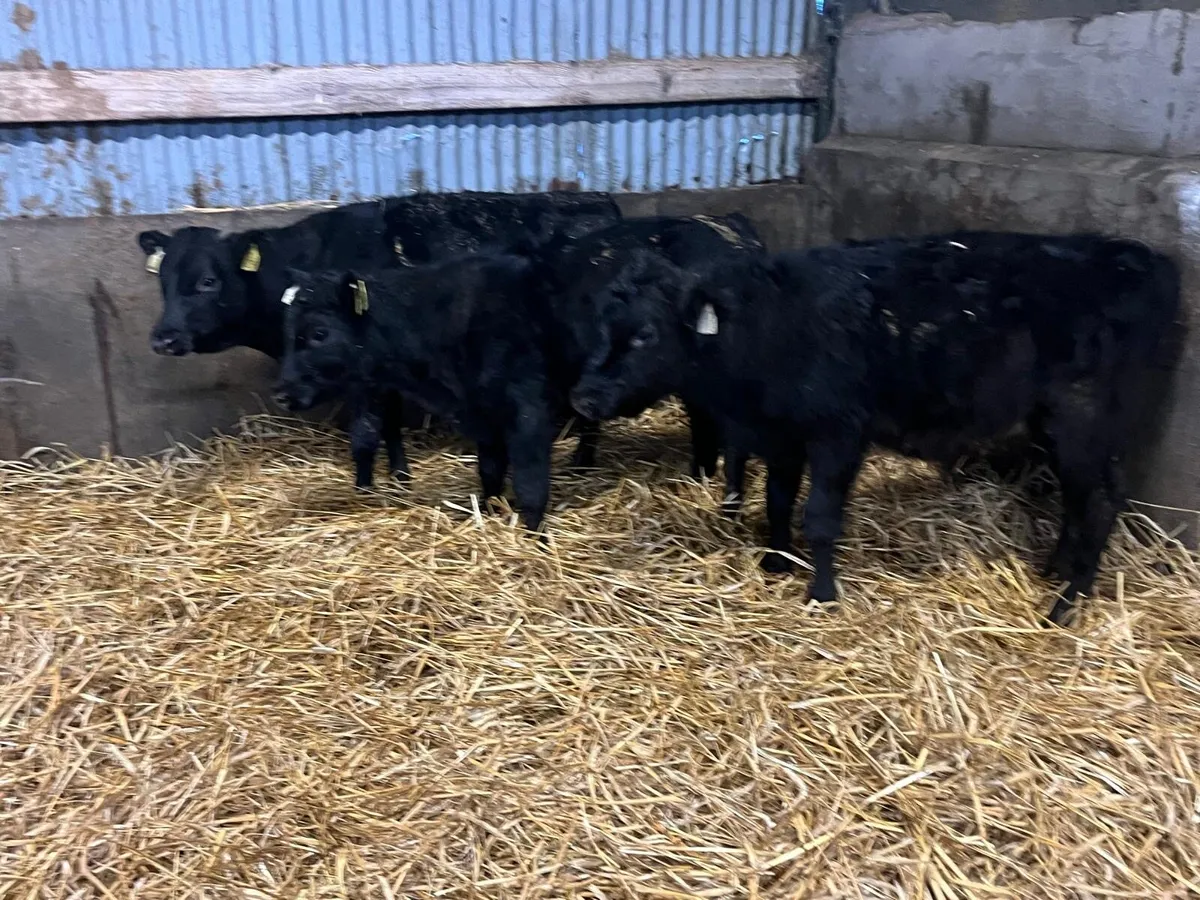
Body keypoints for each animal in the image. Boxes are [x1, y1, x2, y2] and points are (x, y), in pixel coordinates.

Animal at [136, 191, 622, 488]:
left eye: (207, 281)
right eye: (162, 279)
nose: (163, 339)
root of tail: (596, 200)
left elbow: (366, 434)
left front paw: (367, 488)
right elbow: (387, 427)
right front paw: (400, 476)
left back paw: (583, 460)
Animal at [270, 254, 566, 534]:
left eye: (319, 333)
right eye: (286, 333)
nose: (281, 395)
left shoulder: (527, 407)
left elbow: (530, 480)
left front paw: (536, 538)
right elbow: (489, 470)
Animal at [567, 231, 1182, 625]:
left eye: (645, 334)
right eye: (600, 324)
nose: (583, 395)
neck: (769, 324)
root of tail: (1132, 256)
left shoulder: (839, 433)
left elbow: (819, 518)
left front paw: (820, 593)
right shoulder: (784, 436)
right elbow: (777, 501)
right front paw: (774, 563)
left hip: (1084, 420)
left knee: (1099, 502)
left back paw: (1067, 604)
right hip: (1061, 428)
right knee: (1080, 501)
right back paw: (1055, 572)